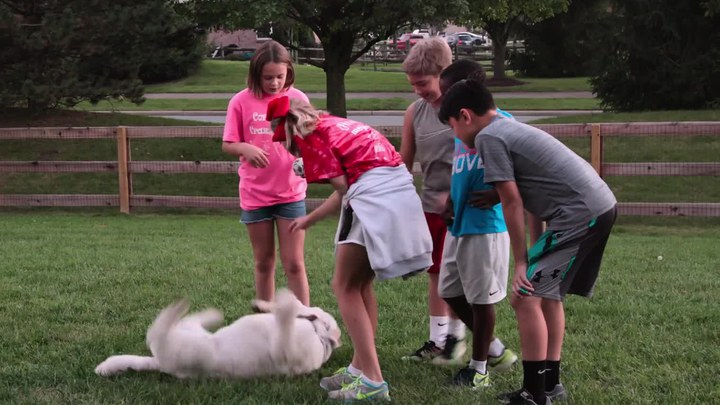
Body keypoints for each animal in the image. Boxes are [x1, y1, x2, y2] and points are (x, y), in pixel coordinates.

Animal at [95, 288, 340, 378]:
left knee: (157, 330)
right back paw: (209, 314)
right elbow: (295, 308)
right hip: (190, 332)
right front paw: (271, 304)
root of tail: (160, 364)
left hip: (180, 347)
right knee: (180, 322)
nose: (314, 317)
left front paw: (284, 307)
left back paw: (179, 308)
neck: (319, 336)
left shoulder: (286, 352)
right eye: (316, 317)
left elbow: (287, 322)